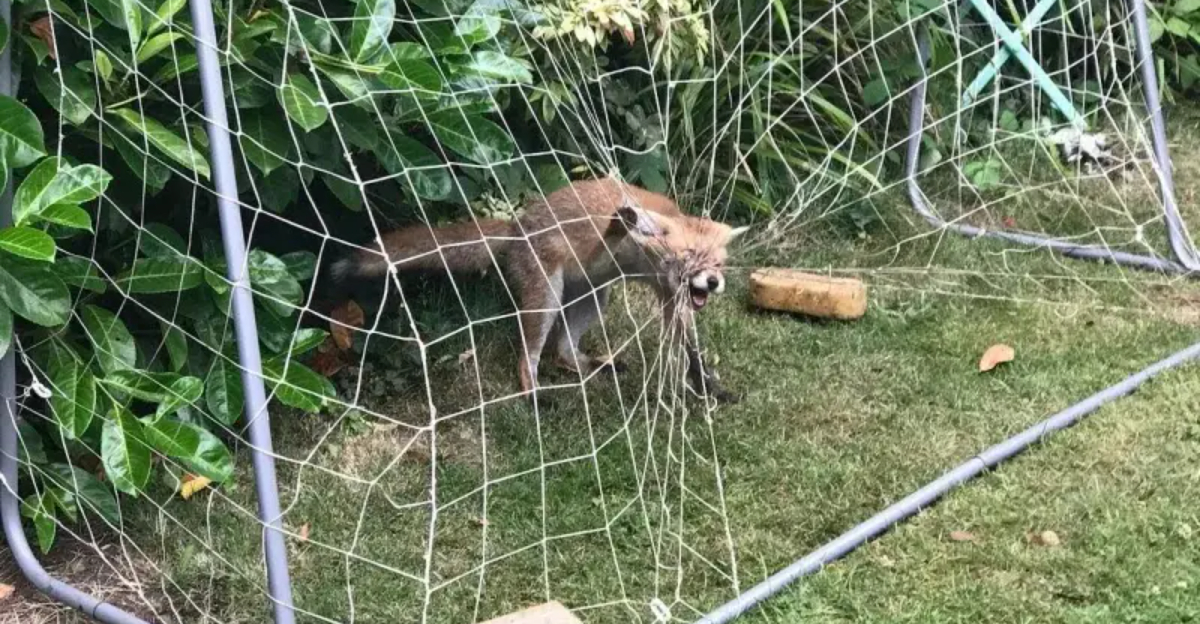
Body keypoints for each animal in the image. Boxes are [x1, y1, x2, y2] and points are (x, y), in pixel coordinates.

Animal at [331, 177, 747, 403]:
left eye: (718, 264)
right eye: (689, 257)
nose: (713, 282)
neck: (645, 261)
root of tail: (517, 227)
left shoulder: (672, 299)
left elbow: (693, 354)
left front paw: (711, 390)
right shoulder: (611, 246)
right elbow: (616, 227)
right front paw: (623, 219)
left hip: (594, 299)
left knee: (562, 351)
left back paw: (594, 365)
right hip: (545, 300)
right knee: (529, 356)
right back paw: (533, 396)